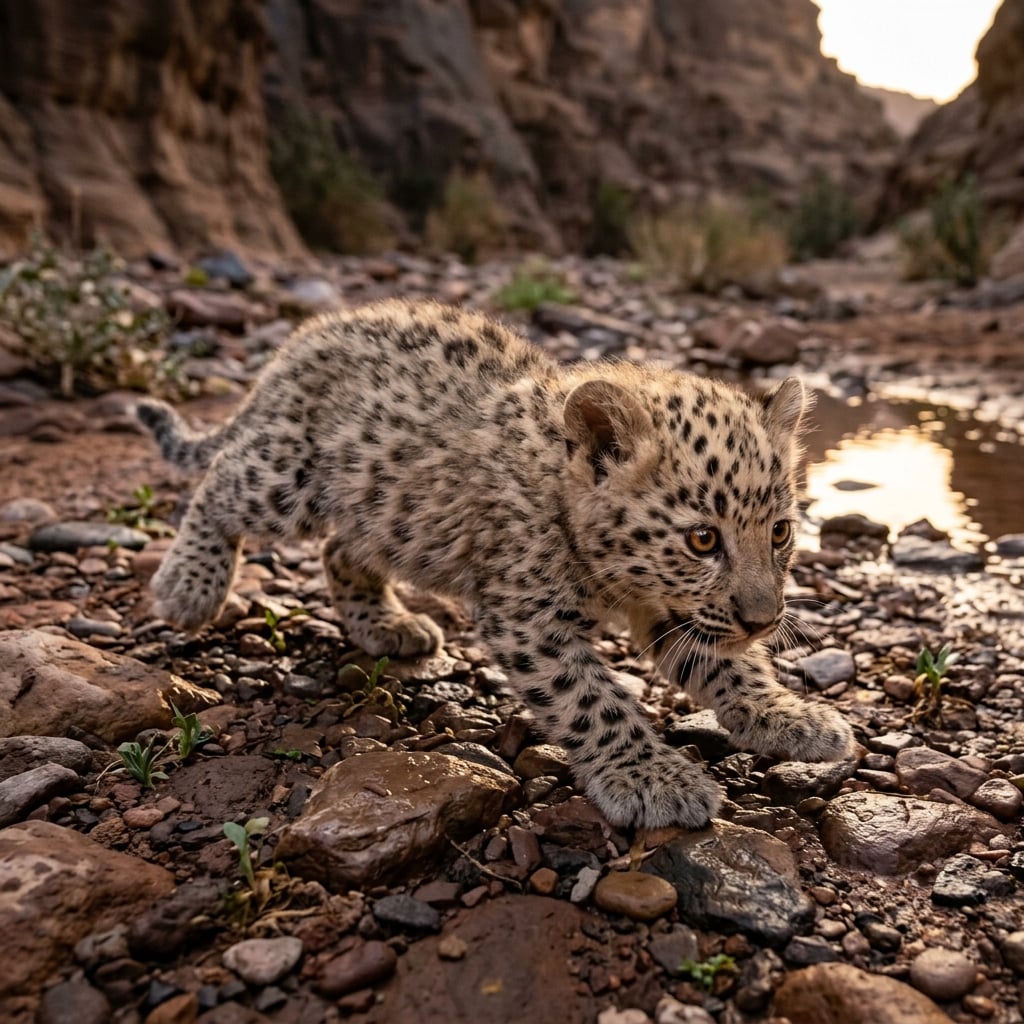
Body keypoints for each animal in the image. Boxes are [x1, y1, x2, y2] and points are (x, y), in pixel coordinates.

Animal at [137, 299, 854, 829]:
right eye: (703, 540)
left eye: (781, 533)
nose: (764, 620)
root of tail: (306, 336)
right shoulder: (529, 618)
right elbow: (593, 703)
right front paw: (655, 779)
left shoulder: (675, 608)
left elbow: (727, 665)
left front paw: (792, 717)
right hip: (291, 477)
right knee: (222, 483)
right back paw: (187, 587)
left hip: (381, 508)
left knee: (340, 548)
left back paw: (388, 628)